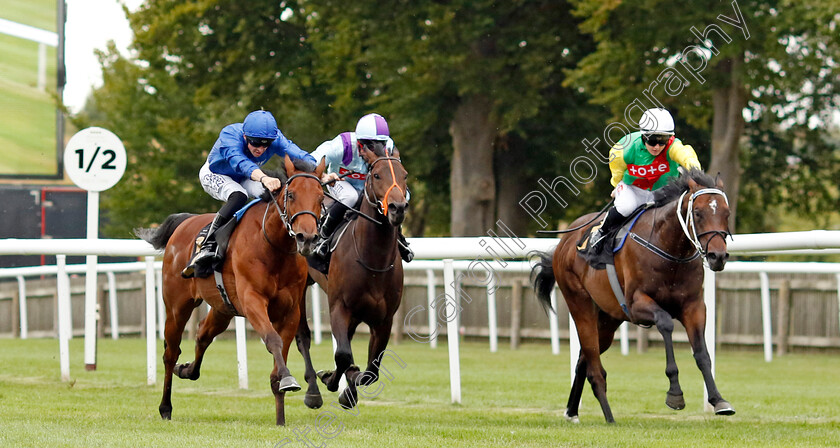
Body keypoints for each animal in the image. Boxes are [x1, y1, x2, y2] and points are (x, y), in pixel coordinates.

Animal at [135, 156, 324, 426]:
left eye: (321, 196)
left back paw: (187, 369)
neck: (273, 246)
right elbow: (273, 340)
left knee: (202, 335)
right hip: (176, 307)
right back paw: (165, 407)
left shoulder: (290, 311)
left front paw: (281, 417)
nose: (306, 238)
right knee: (170, 352)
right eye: (291, 195)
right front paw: (289, 379)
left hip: (222, 308)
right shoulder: (253, 301)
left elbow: (280, 358)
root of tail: (184, 223)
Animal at [296, 144, 406, 410]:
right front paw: (334, 381)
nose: (397, 208)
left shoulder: (384, 319)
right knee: (303, 335)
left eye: (405, 175)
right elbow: (344, 355)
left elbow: (371, 371)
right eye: (376, 175)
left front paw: (348, 389)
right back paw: (313, 391)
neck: (373, 260)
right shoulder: (339, 307)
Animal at [532, 169, 736, 424]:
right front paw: (675, 394)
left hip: (608, 320)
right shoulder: (637, 304)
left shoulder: (694, 307)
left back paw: (572, 411)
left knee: (583, 359)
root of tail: (564, 242)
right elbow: (666, 323)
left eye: (727, 213)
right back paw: (609, 417)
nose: (718, 256)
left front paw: (719, 401)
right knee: (594, 366)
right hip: (580, 305)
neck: (670, 252)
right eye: (698, 213)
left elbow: (702, 353)